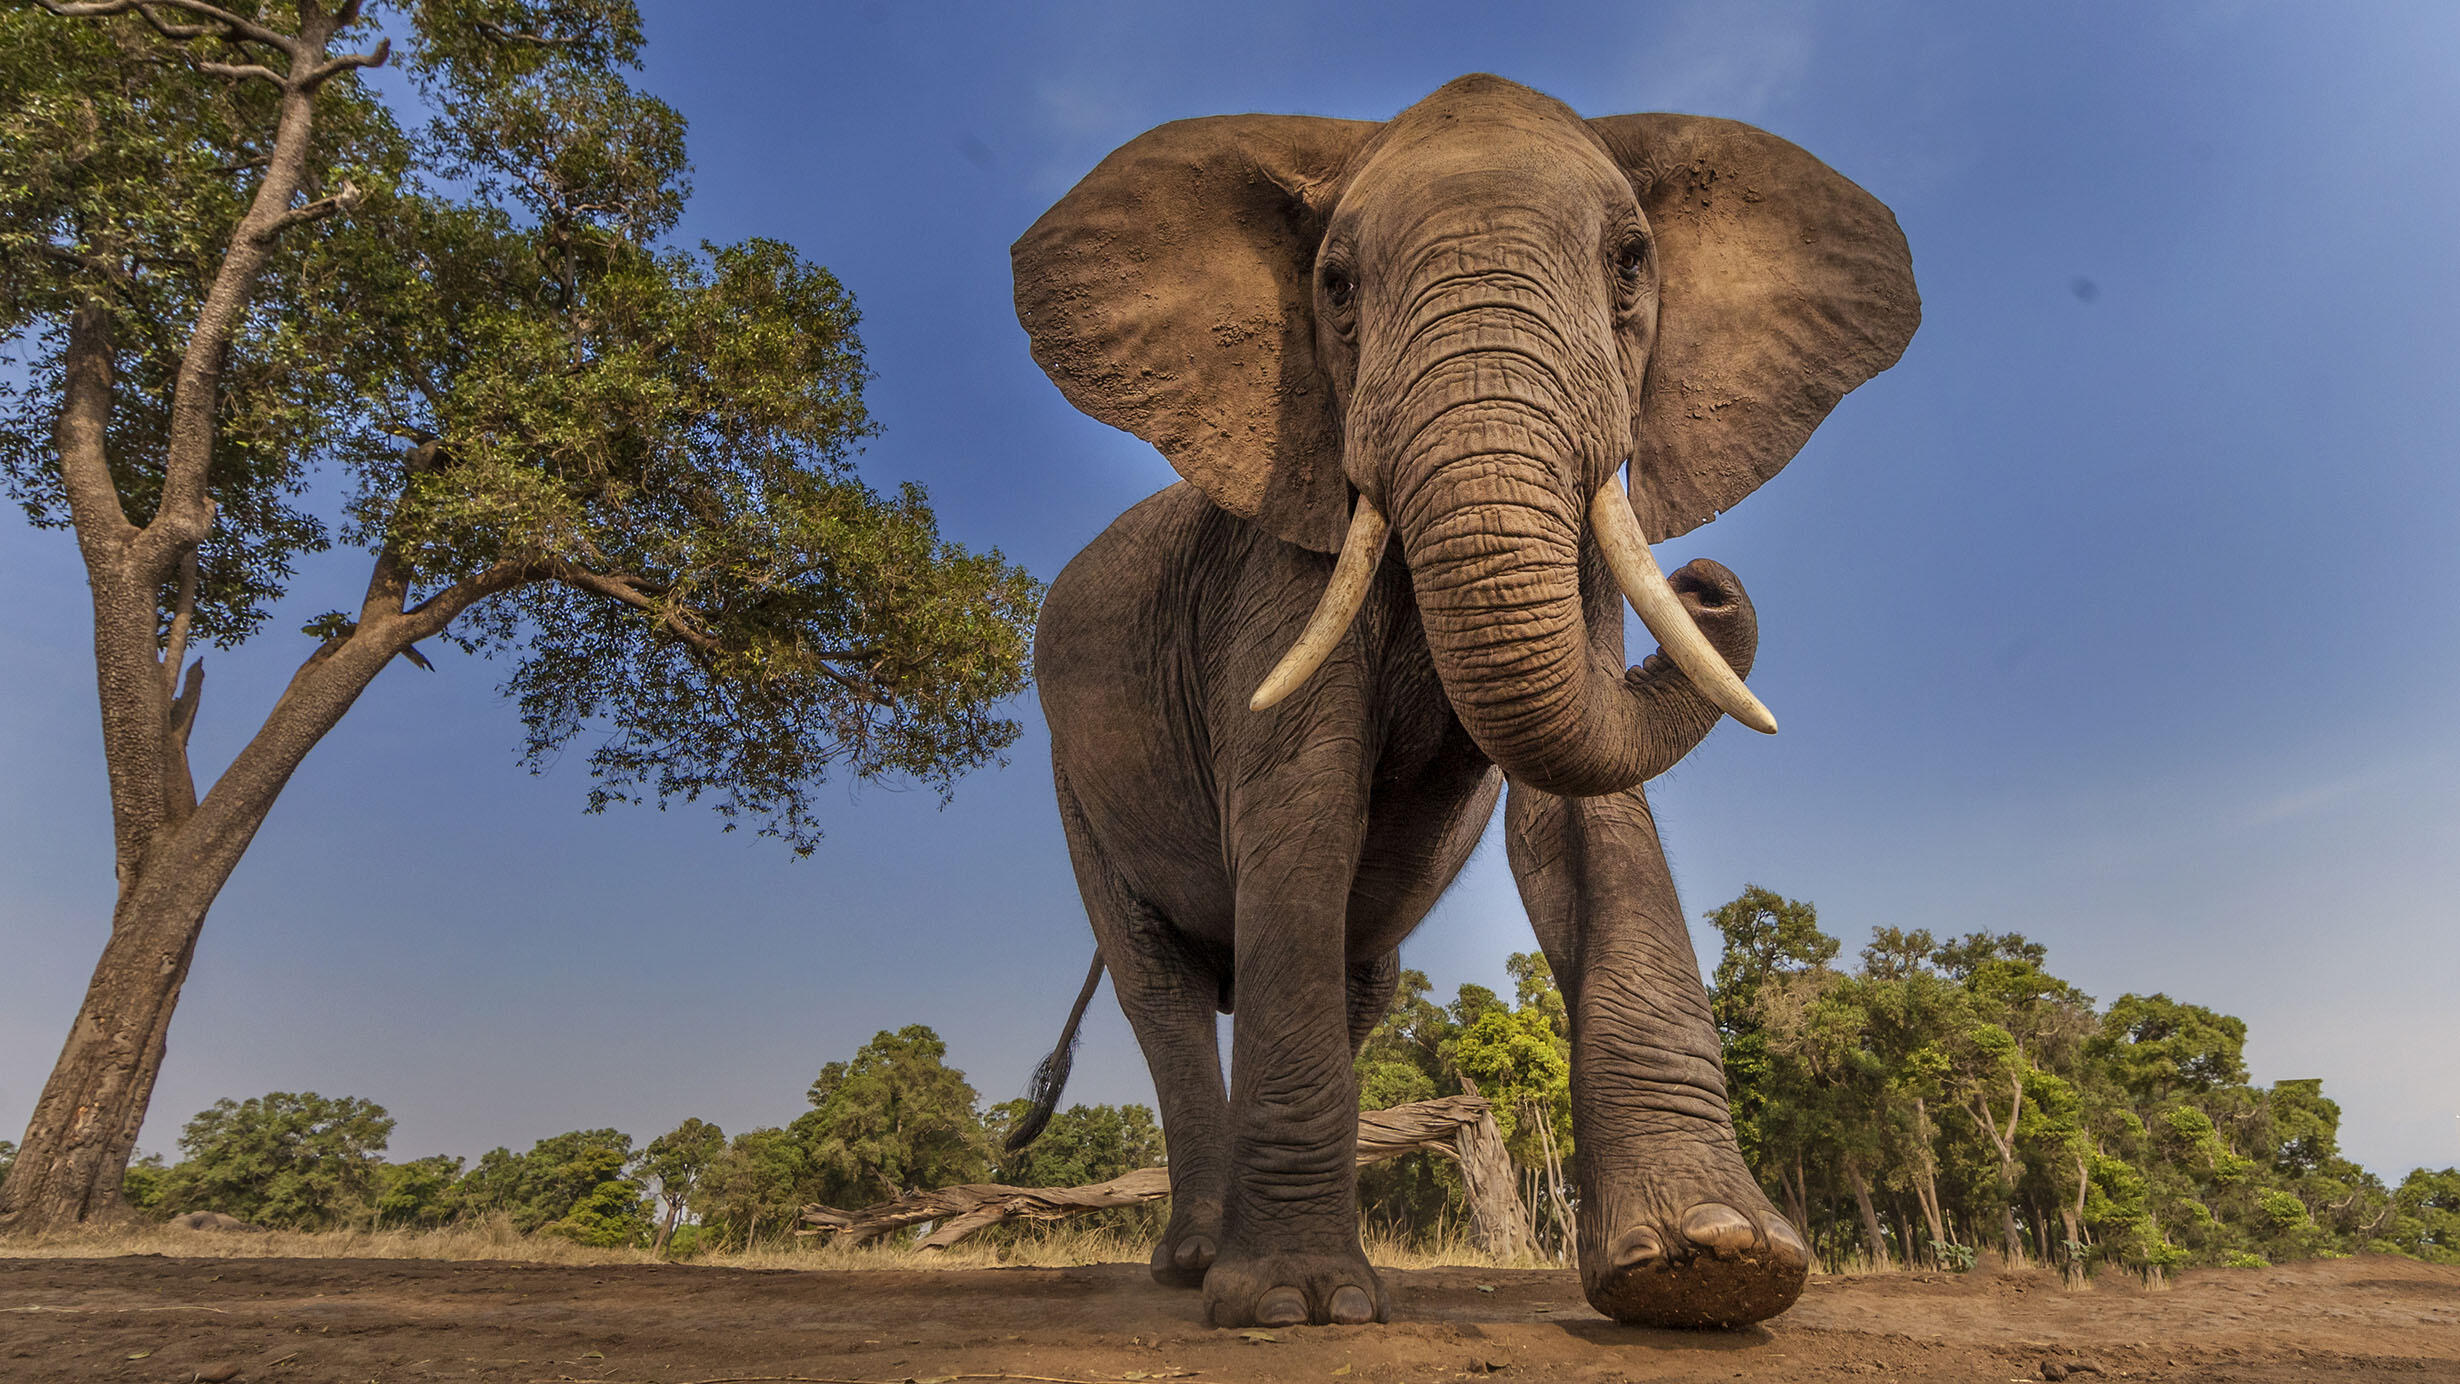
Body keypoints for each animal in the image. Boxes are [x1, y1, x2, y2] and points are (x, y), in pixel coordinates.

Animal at [1003, 75, 1918, 1327]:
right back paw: (1198, 1264)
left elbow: (1583, 814)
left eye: (1631, 262)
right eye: (1337, 287)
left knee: (1355, 974)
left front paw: (1713, 1267)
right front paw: (1293, 1306)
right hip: (1070, 778)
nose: (1708, 582)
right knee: (1161, 986)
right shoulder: (1278, 566)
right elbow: (1300, 810)